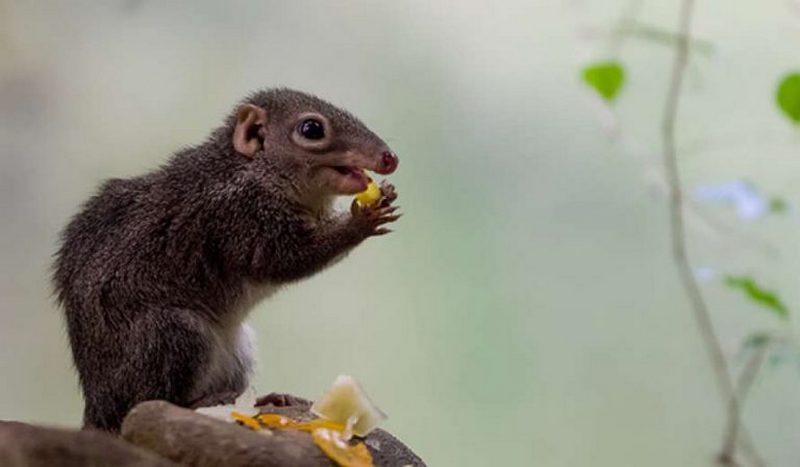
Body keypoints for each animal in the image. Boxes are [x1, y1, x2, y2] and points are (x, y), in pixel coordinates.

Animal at [51, 89, 400, 434]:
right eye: (312, 129)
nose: (389, 158)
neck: (251, 171)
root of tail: (99, 411)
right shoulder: (238, 219)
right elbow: (286, 259)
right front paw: (362, 221)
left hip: (238, 350)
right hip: (171, 333)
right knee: (150, 401)